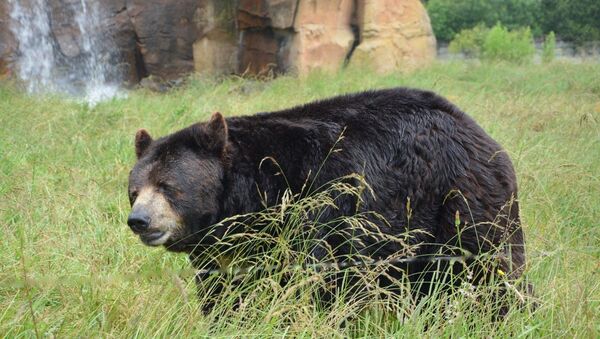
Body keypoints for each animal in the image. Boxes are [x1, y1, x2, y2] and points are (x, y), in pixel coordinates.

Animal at [125, 86, 524, 304]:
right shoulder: (228, 252)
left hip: (460, 202)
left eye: (168, 186)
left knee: (489, 269)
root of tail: (479, 132)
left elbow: (317, 282)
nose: (139, 221)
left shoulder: (321, 207)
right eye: (133, 190)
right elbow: (226, 291)